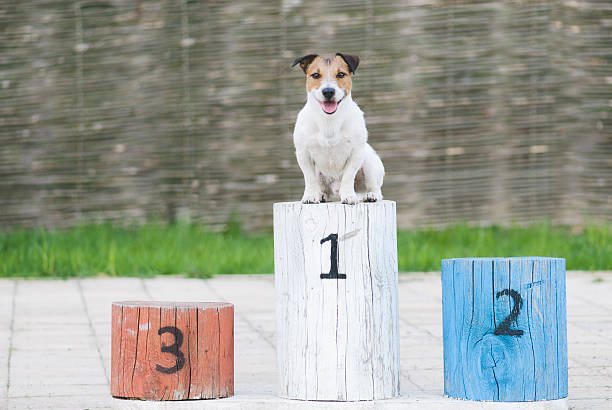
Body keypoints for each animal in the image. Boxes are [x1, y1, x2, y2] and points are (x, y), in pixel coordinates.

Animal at [290, 52, 382, 205]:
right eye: (315, 75)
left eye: (340, 74)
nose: (328, 91)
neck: (329, 121)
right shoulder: (303, 153)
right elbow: (309, 178)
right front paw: (310, 196)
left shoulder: (356, 152)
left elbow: (348, 176)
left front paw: (349, 196)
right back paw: (321, 195)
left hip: (369, 161)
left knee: (374, 188)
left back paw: (370, 195)